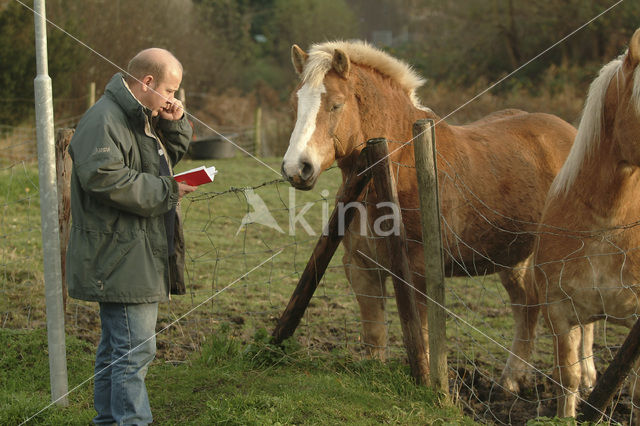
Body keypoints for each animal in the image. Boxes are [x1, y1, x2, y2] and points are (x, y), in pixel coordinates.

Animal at [282, 41, 576, 392]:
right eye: (295, 104)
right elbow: (375, 337)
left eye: (336, 105)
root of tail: (572, 132)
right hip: (515, 258)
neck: (397, 166)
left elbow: (420, 337)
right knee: (527, 307)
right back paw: (511, 381)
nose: (297, 168)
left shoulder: (419, 273)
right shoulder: (362, 269)